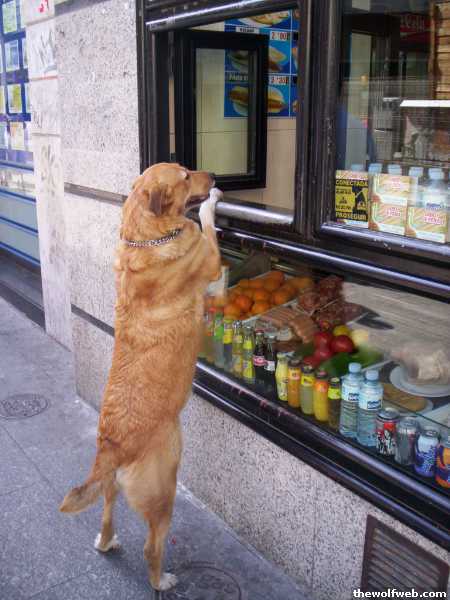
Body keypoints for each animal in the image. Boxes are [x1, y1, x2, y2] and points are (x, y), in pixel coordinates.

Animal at [60, 163, 222, 591]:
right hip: (164, 489)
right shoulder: (210, 259)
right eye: (186, 177)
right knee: (152, 546)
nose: (214, 177)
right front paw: (211, 204)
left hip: (113, 488)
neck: (145, 238)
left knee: (106, 514)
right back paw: (161, 580)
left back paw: (106, 541)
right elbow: (205, 223)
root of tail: (111, 446)